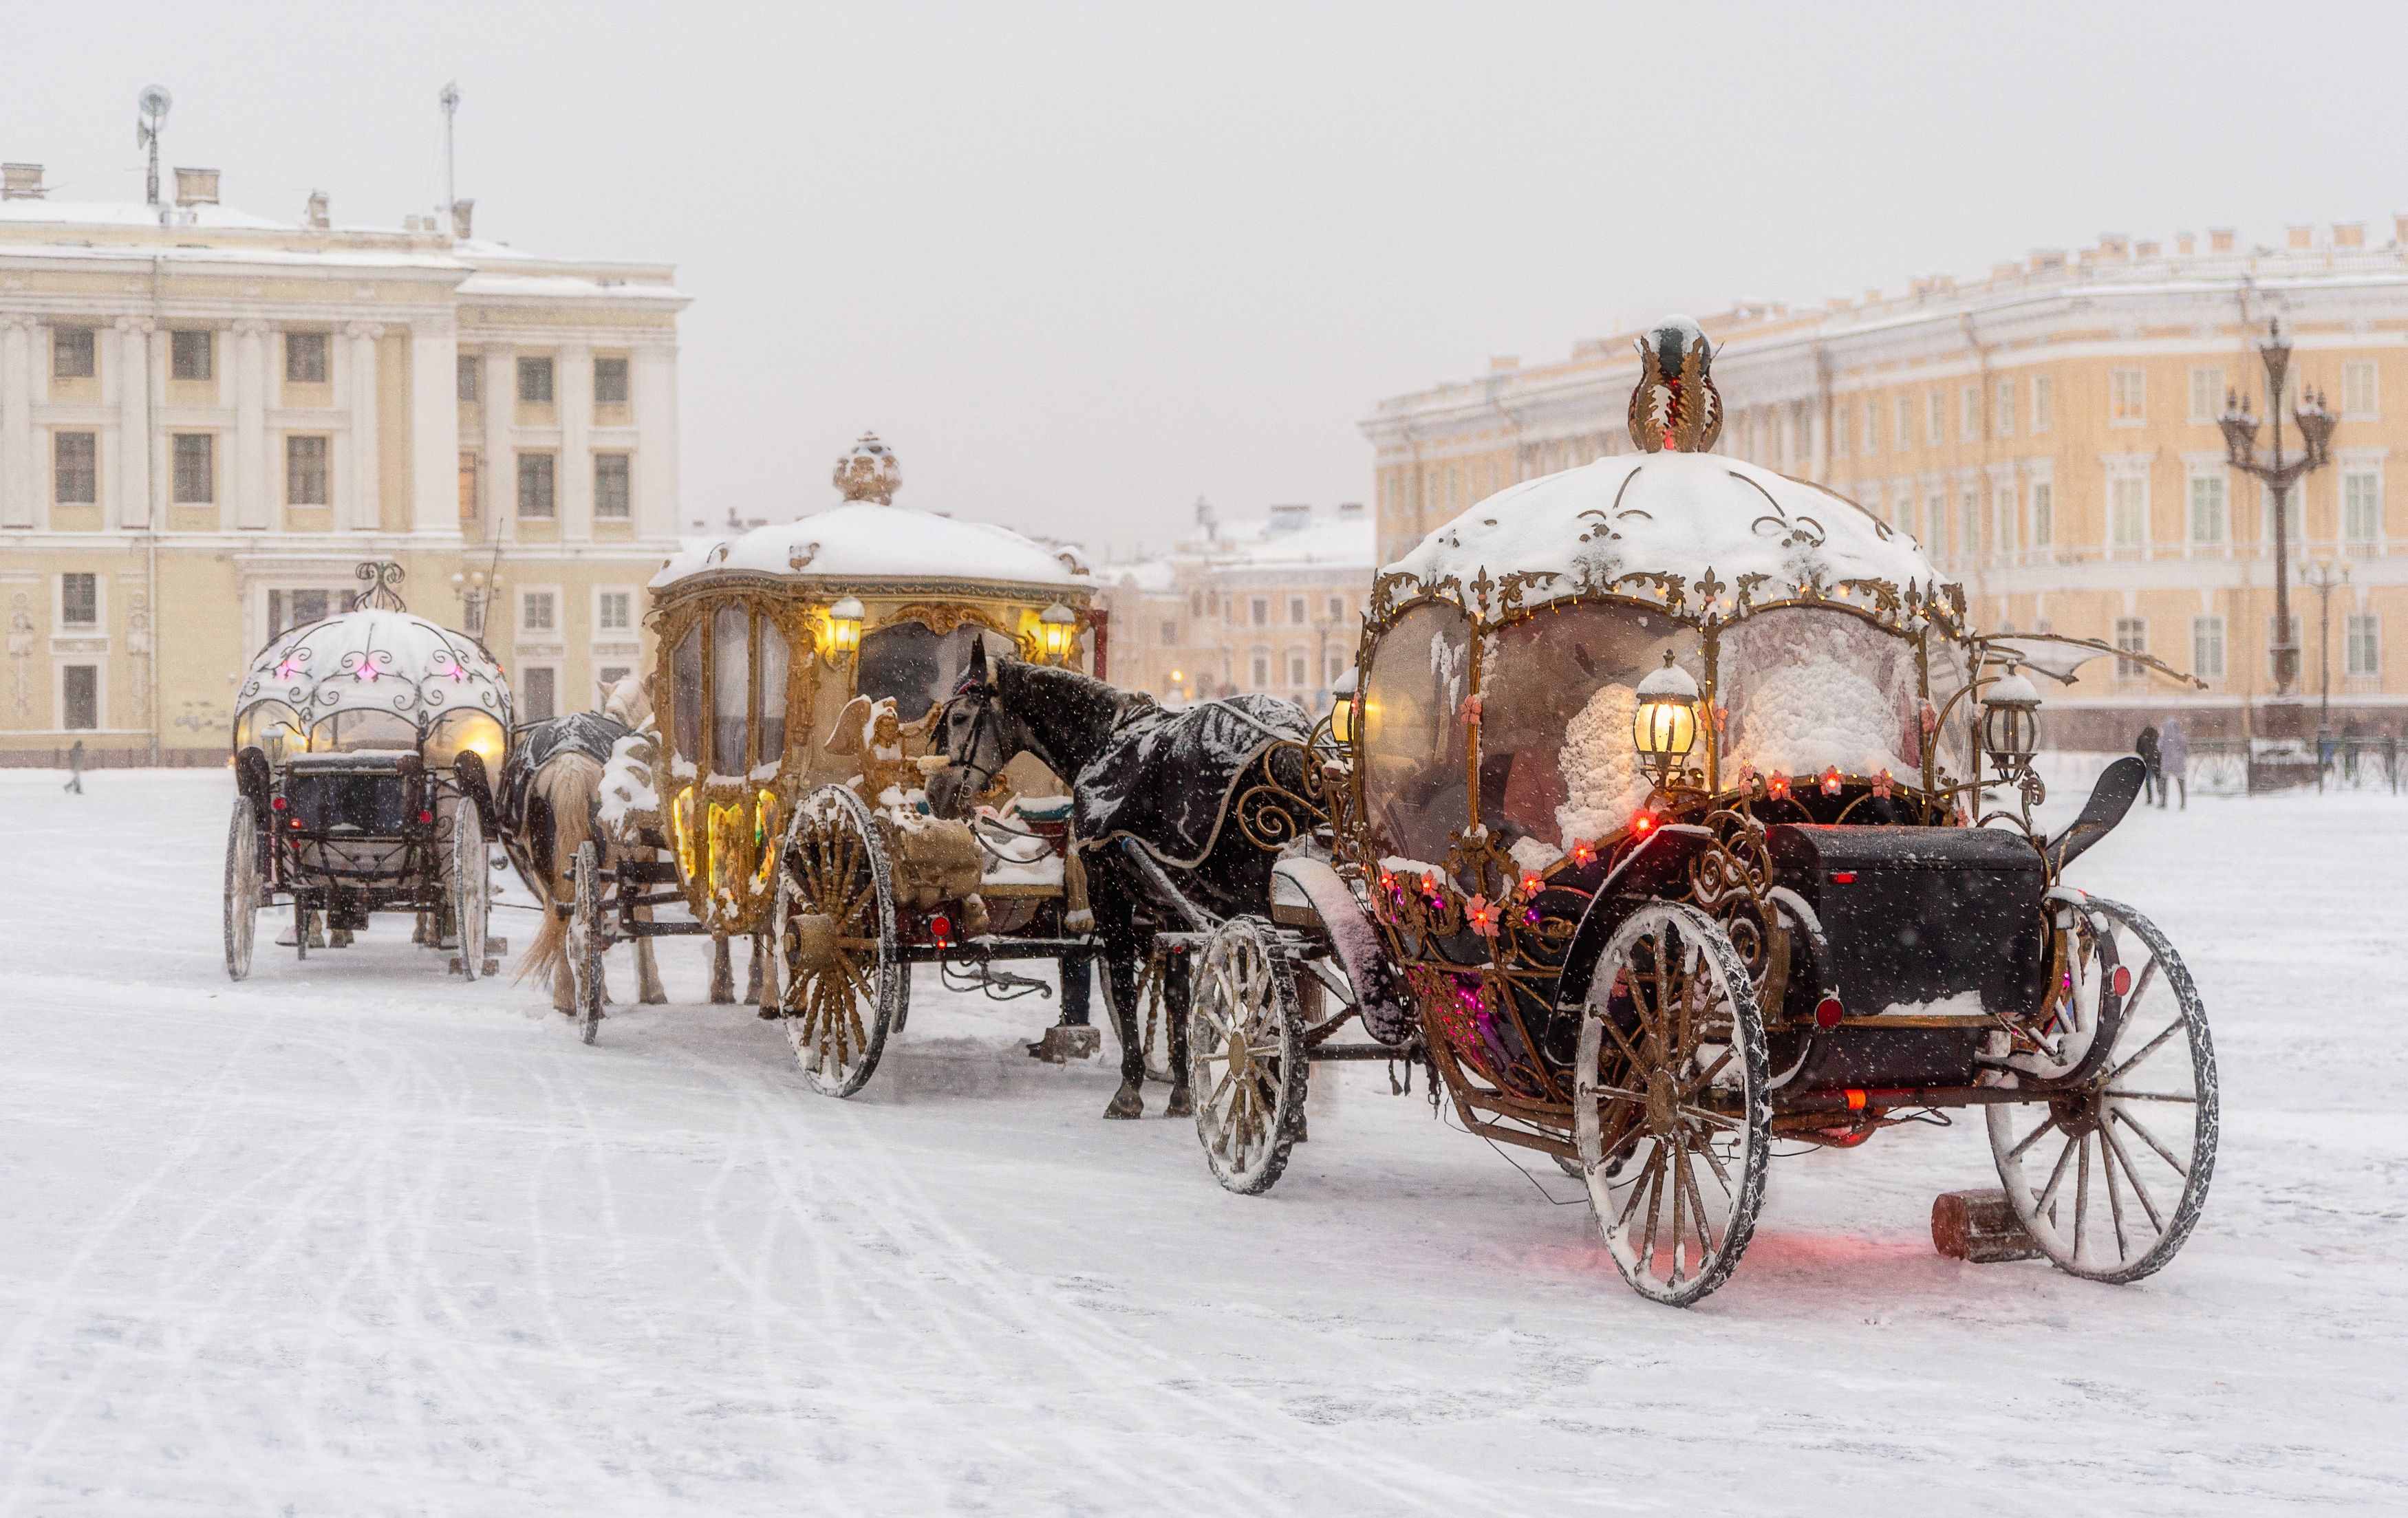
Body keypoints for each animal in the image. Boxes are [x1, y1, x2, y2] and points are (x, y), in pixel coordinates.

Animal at [503, 673, 665, 1010]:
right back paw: (592, 992)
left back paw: (566, 996)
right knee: (588, 918)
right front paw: (652, 989)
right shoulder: (643, 860)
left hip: (541, 864)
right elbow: (644, 917)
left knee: (560, 914)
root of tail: (568, 766)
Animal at [920, 649, 1310, 1120]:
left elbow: (1126, 987)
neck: (1104, 739)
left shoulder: (1111, 895)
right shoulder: (1169, 910)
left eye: (960, 717)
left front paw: (1130, 1089)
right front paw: (1181, 1090)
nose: (934, 793)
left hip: (1250, 895)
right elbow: (1177, 997)